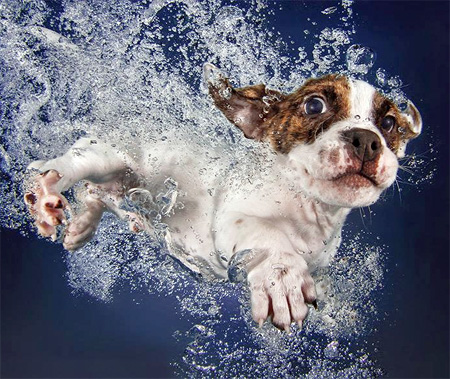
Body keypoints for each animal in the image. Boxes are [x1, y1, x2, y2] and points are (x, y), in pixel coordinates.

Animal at [22, 64, 422, 332]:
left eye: (388, 124)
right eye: (314, 106)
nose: (366, 140)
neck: (307, 211)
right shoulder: (233, 221)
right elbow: (269, 237)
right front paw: (282, 276)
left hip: (117, 184)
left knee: (96, 193)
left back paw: (82, 227)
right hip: (103, 154)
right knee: (69, 166)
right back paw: (46, 193)